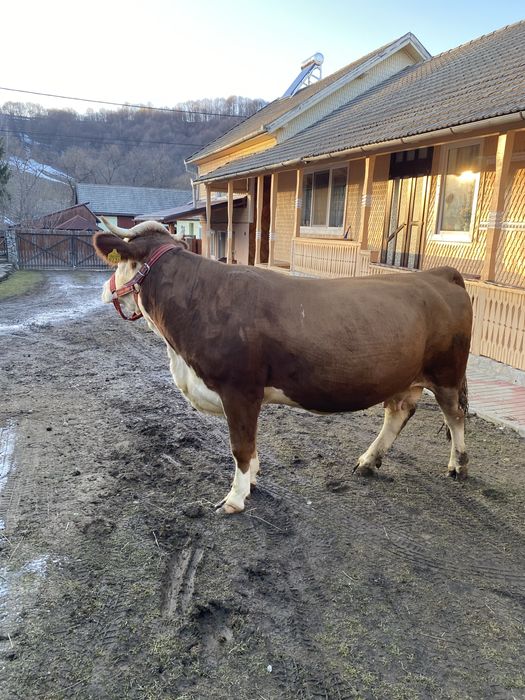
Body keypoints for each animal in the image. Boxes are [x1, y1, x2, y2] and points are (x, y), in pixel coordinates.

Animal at [93, 219, 473, 514]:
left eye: (119, 263)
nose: (104, 290)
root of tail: (439, 274)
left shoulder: (239, 388)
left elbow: (240, 446)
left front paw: (235, 498)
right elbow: (250, 445)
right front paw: (252, 480)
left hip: (447, 372)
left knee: (454, 416)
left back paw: (458, 465)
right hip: (406, 376)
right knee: (398, 412)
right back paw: (368, 461)